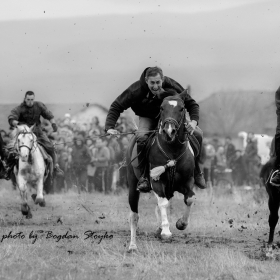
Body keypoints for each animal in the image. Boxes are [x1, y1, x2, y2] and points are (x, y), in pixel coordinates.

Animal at [126, 95, 195, 252]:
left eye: (182, 108)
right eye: (162, 108)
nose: (169, 131)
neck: (172, 149)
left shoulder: (187, 181)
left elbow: (189, 199)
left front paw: (181, 223)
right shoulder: (157, 181)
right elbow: (163, 203)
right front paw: (166, 231)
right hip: (133, 184)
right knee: (134, 216)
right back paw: (133, 246)